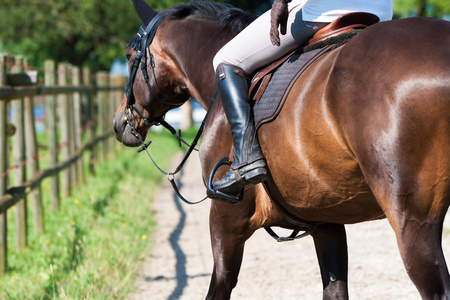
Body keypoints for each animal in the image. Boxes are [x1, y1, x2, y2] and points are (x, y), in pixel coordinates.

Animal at [113, 1, 450, 298]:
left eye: (129, 55)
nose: (119, 123)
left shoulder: (225, 219)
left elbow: (219, 287)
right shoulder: (326, 221)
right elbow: (335, 290)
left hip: (412, 220)